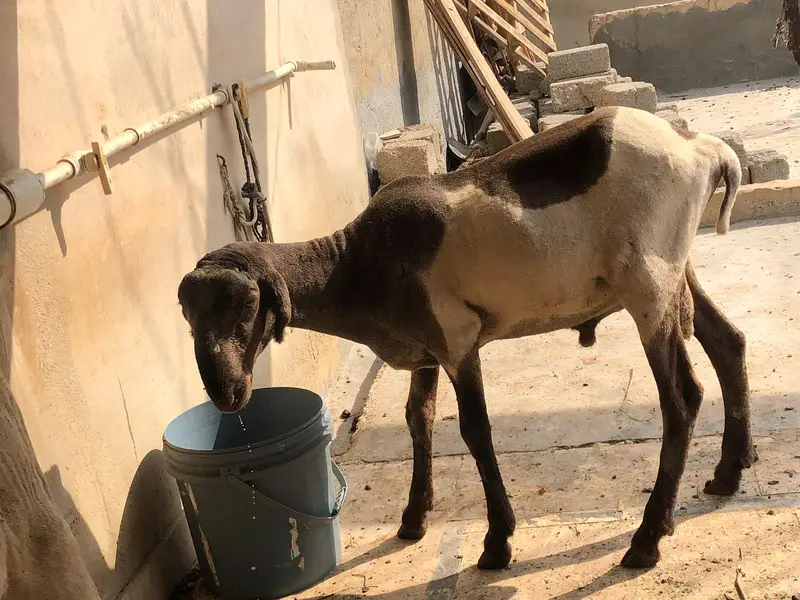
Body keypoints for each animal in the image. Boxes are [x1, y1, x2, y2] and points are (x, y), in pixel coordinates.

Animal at [178, 106, 756, 570]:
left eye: (247, 306)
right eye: (187, 315)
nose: (226, 392)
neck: (355, 263)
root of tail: (702, 149)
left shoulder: (458, 341)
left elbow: (476, 432)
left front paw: (497, 542)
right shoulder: (425, 350)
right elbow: (419, 419)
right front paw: (414, 518)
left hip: (648, 286)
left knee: (682, 400)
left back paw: (647, 538)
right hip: (677, 270)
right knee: (729, 343)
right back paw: (728, 472)